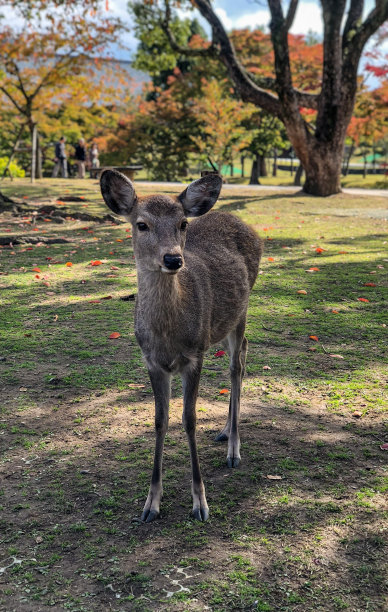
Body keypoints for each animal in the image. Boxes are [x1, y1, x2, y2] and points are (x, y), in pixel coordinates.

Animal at [100, 170, 264, 524]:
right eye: (141, 224)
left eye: (183, 223)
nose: (173, 258)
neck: (168, 335)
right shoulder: (151, 361)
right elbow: (160, 420)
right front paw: (151, 503)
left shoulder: (195, 355)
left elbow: (189, 420)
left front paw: (200, 502)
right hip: (223, 323)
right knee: (243, 350)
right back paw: (225, 431)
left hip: (241, 310)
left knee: (237, 364)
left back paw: (234, 449)